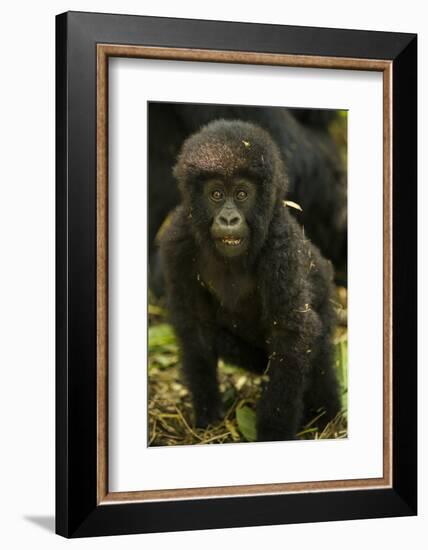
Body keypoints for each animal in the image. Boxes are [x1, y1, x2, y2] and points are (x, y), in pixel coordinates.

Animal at [160, 118, 342, 442]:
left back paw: (326, 418)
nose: (229, 219)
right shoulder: (177, 242)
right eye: (216, 194)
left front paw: (273, 433)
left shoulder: (281, 244)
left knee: (319, 355)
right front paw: (208, 416)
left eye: (242, 194)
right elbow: (195, 326)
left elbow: (290, 332)